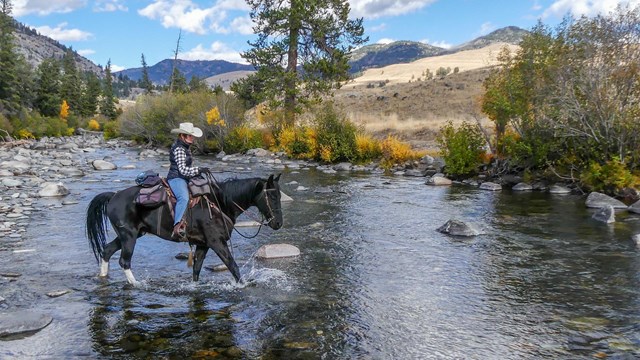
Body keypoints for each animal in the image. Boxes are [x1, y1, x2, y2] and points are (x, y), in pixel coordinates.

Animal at [85, 173, 282, 286]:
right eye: (272, 196)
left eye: (280, 196)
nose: (278, 223)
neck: (220, 204)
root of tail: (113, 196)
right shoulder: (217, 242)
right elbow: (233, 266)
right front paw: (243, 285)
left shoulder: (203, 244)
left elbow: (197, 269)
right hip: (129, 236)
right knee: (124, 261)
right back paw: (137, 284)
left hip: (131, 235)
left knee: (107, 250)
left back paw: (103, 277)